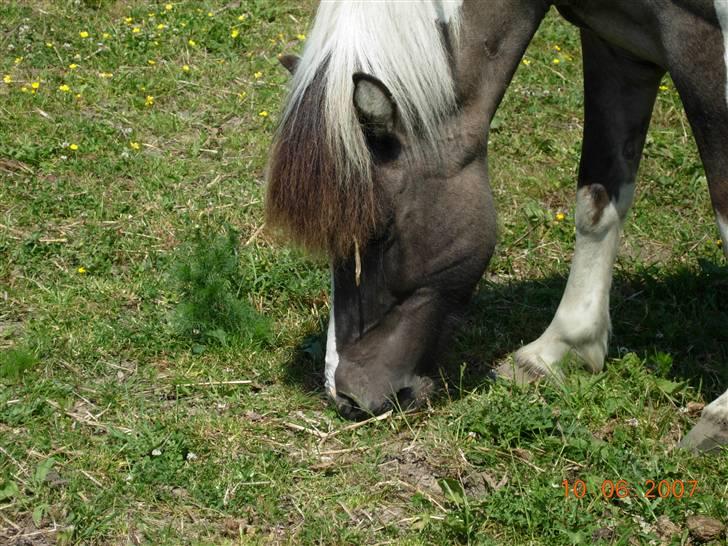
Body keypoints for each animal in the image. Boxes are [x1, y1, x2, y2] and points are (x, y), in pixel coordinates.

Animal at [266, 0, 728, 450]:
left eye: (380, 232)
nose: (345, 396)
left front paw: (720, 415)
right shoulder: (614, 44)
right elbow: (597, 200)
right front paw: (556, 349)